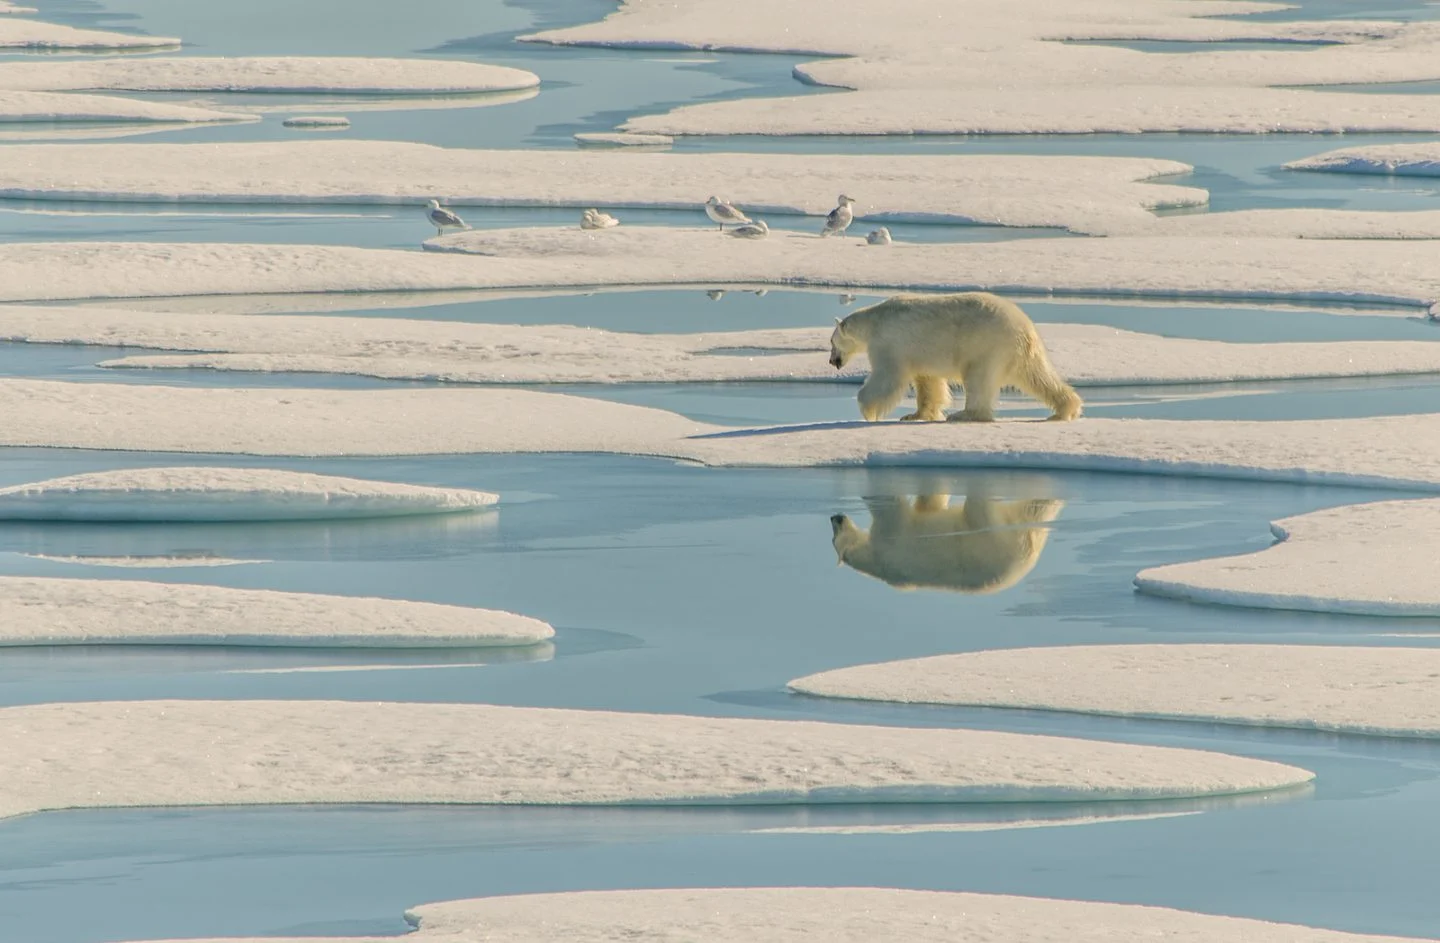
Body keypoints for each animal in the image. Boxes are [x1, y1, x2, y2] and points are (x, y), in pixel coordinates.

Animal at [827, 292, 1082, 422]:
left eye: (831, 343)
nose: (831, 361)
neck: (874, 322)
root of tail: (1025, 327)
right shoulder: (919, 353)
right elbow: (928, 382)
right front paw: (916, 415)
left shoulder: (889, 343)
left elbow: (887, 378)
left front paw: (867, 409)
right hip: (1020, 352)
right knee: (1038, 376)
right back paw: (1065, 409)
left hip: (987, 344)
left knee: (978, 379)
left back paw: (965, 414)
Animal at [830, 491, 1065, 594]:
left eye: (834, 535)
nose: (835, 517)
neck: (872, 558)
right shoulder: (890, 541)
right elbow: (892, 510)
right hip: (994, 540)